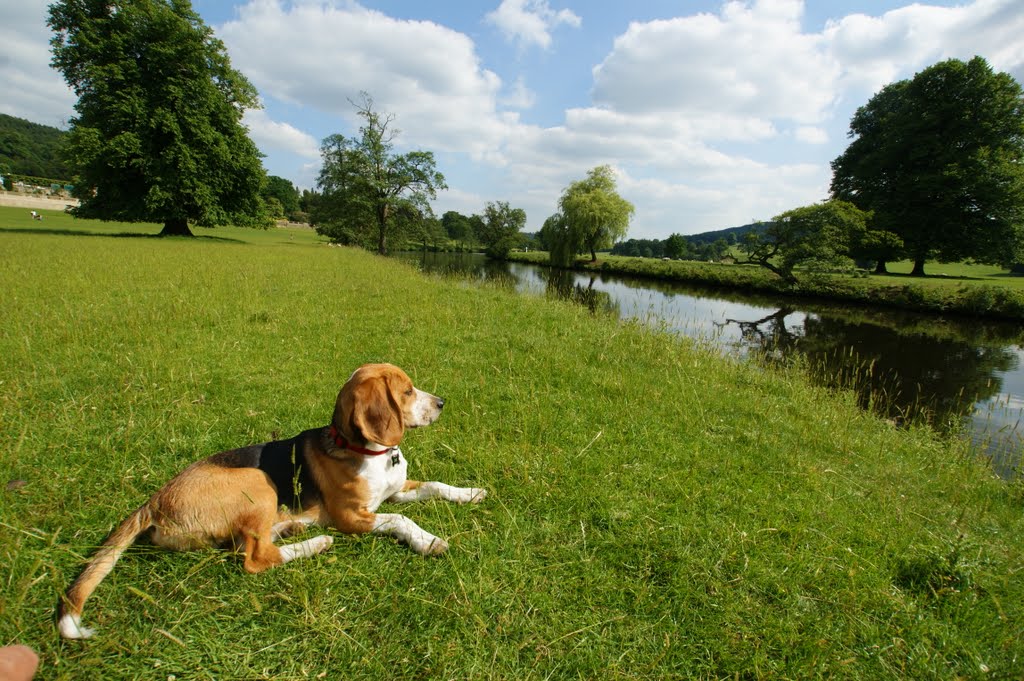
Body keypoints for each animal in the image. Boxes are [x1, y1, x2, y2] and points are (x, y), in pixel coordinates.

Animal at [57, 364, 487, 639]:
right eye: (408, 391)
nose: (442, 402)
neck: (369, 451)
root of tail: (157, 499)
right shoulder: (352, 517)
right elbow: (400, 519)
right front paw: (429, 541)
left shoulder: (398, 488)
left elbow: (434, 485)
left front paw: (469, 493)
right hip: (259, 481)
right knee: (256, 558)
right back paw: (316, 542)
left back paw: (294, 528)